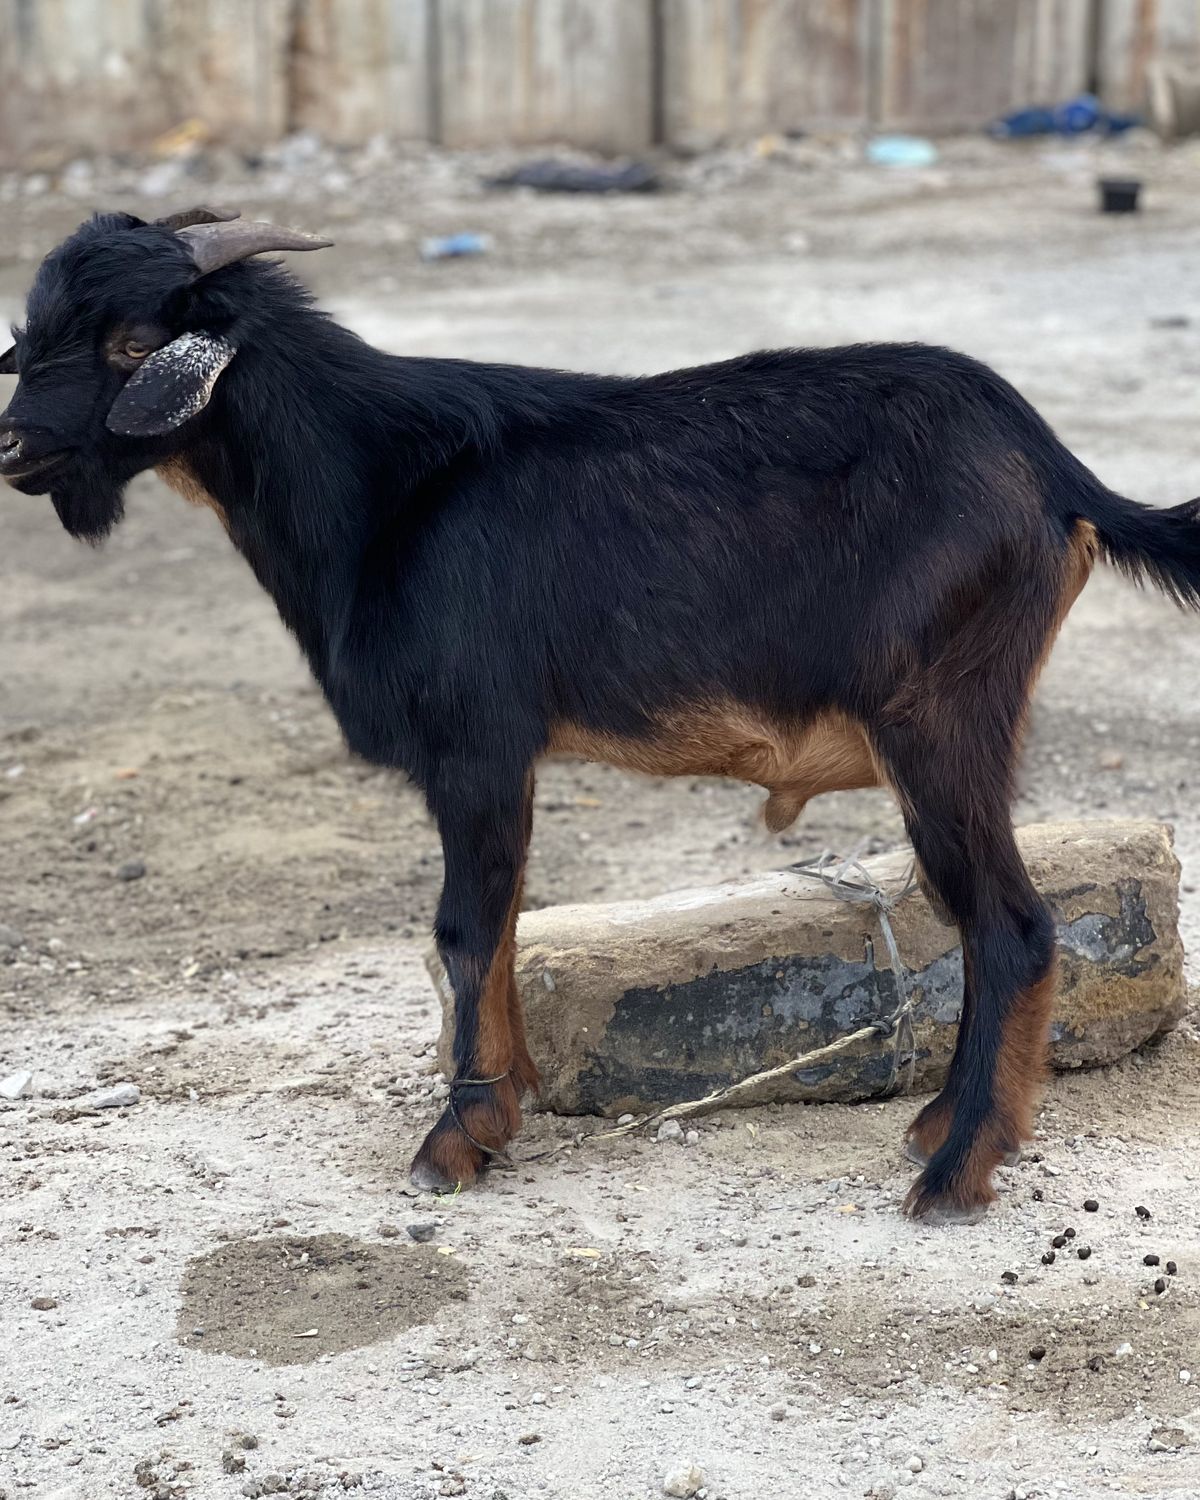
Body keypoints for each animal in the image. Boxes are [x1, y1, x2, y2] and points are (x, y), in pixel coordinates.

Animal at [2, 209, 1198, 1221]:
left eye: (130, 345)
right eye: (35, 329)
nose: (12, 446)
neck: (379, 485)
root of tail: (1055, 471)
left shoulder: (475, 744)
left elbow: (464, 927)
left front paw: (459, 1137)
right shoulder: (504, 760)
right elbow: (502, 924)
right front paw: (506, 1101)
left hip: (938, 718)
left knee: (1014, 925)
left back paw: (956, 1172)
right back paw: (943, 1125)